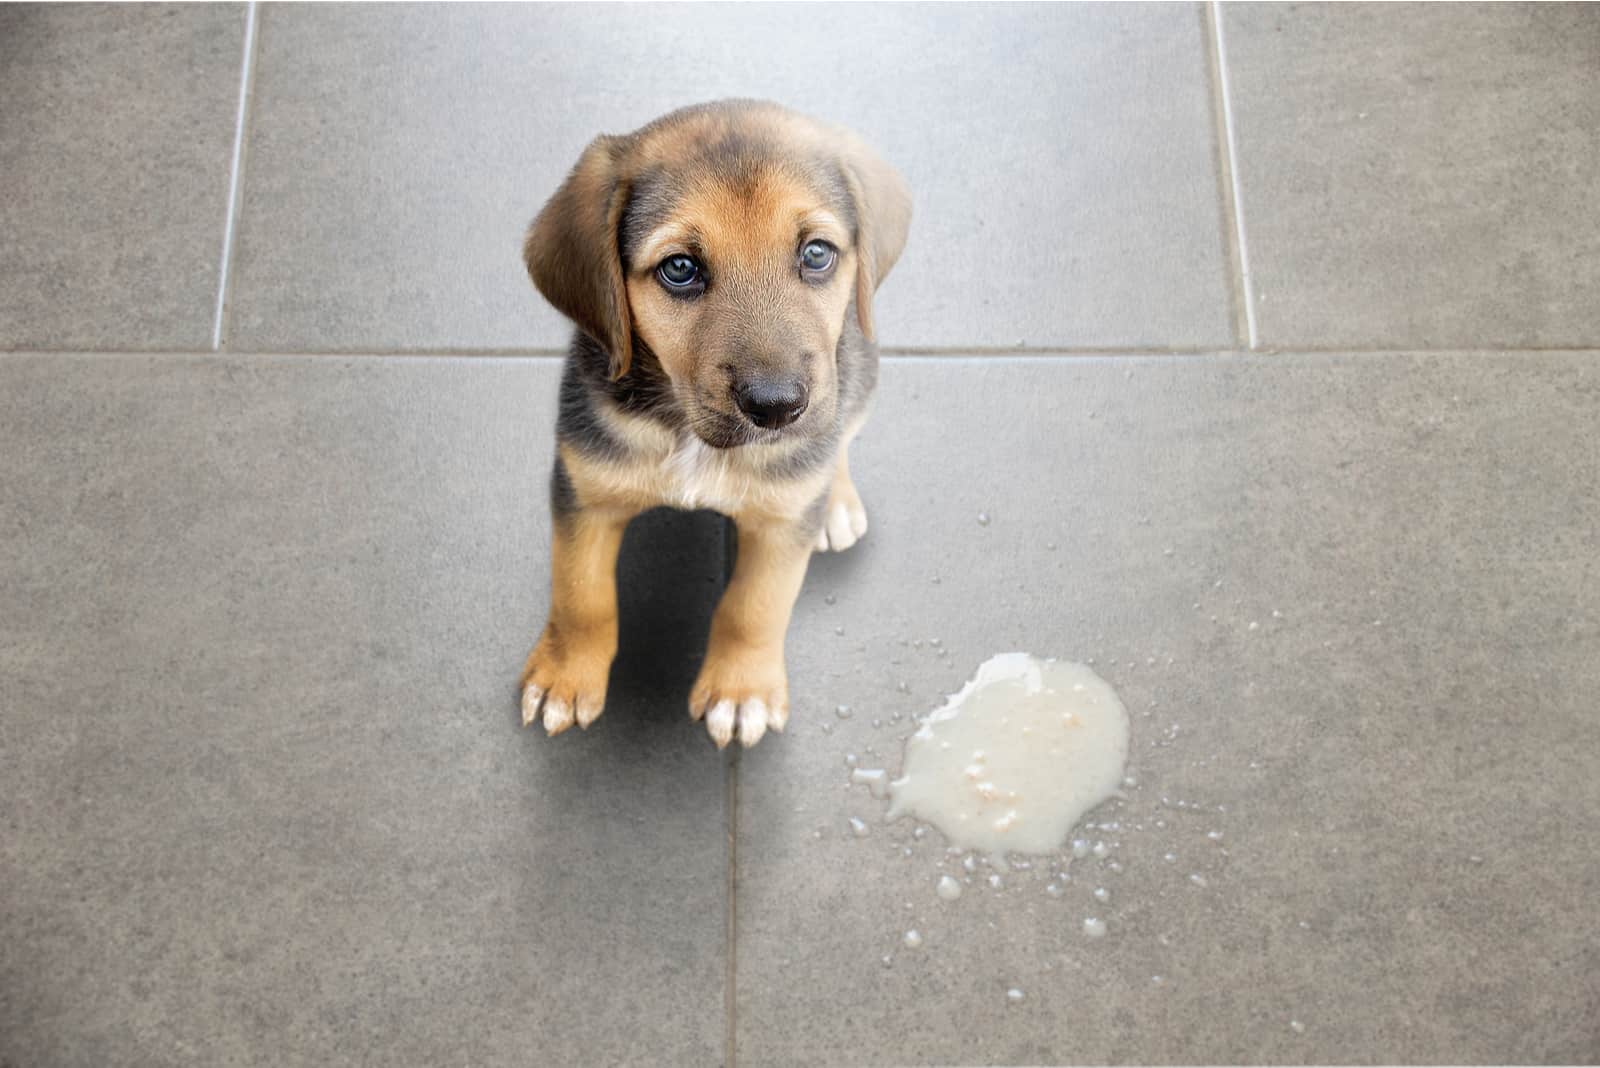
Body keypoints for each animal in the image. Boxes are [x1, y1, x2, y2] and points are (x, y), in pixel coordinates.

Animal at [515, 99, 908, 751]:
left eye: (816, 254)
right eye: (679, 268)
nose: (777, 407)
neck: (689, 434)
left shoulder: (781, 525)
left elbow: (754, 607)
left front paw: (741, 691)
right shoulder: (583, 490)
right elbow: (580, 595)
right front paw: (565, 676)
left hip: (859, 374)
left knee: (841, 436)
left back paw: (837, 502)